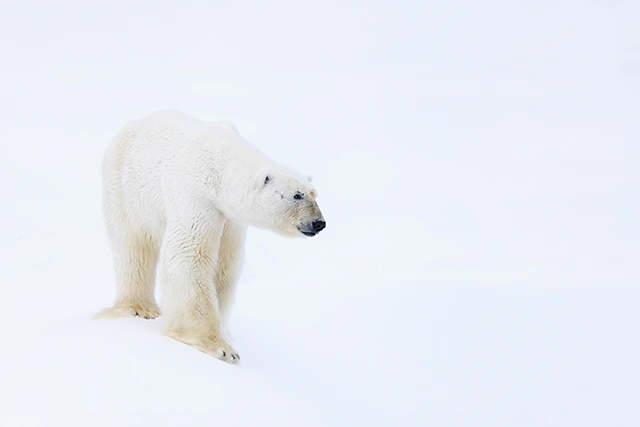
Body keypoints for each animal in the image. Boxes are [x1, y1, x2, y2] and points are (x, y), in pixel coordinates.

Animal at [94, 110, 325, 363]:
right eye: (296, 195)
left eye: (314, 194)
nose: (319, 223)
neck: (218, 165)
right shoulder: (195, 194)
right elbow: (189, 253)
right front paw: (221, 348)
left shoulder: (231, 218)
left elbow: (226, 263)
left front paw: (224, 330)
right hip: (124, 188)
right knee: (132, 246)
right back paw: (140, 308)